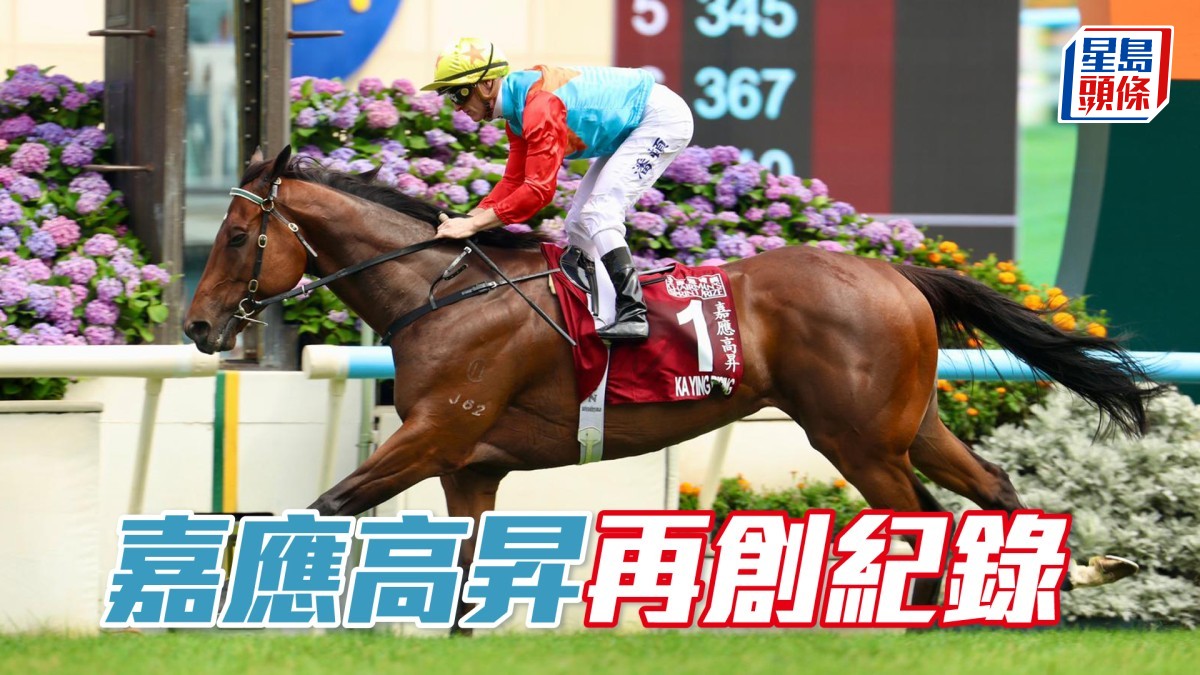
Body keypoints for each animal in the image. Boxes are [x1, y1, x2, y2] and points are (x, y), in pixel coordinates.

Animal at [185, 145, 1162, 620]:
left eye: (233, 237)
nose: (197, 327)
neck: (444, 292)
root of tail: (897, 273)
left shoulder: (438, 431)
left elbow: (329, 505)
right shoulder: (470, 462)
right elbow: (464, 564)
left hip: (854, 438)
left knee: (923, 519)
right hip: (907, 422)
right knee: (990, 486)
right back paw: (1070, 578)